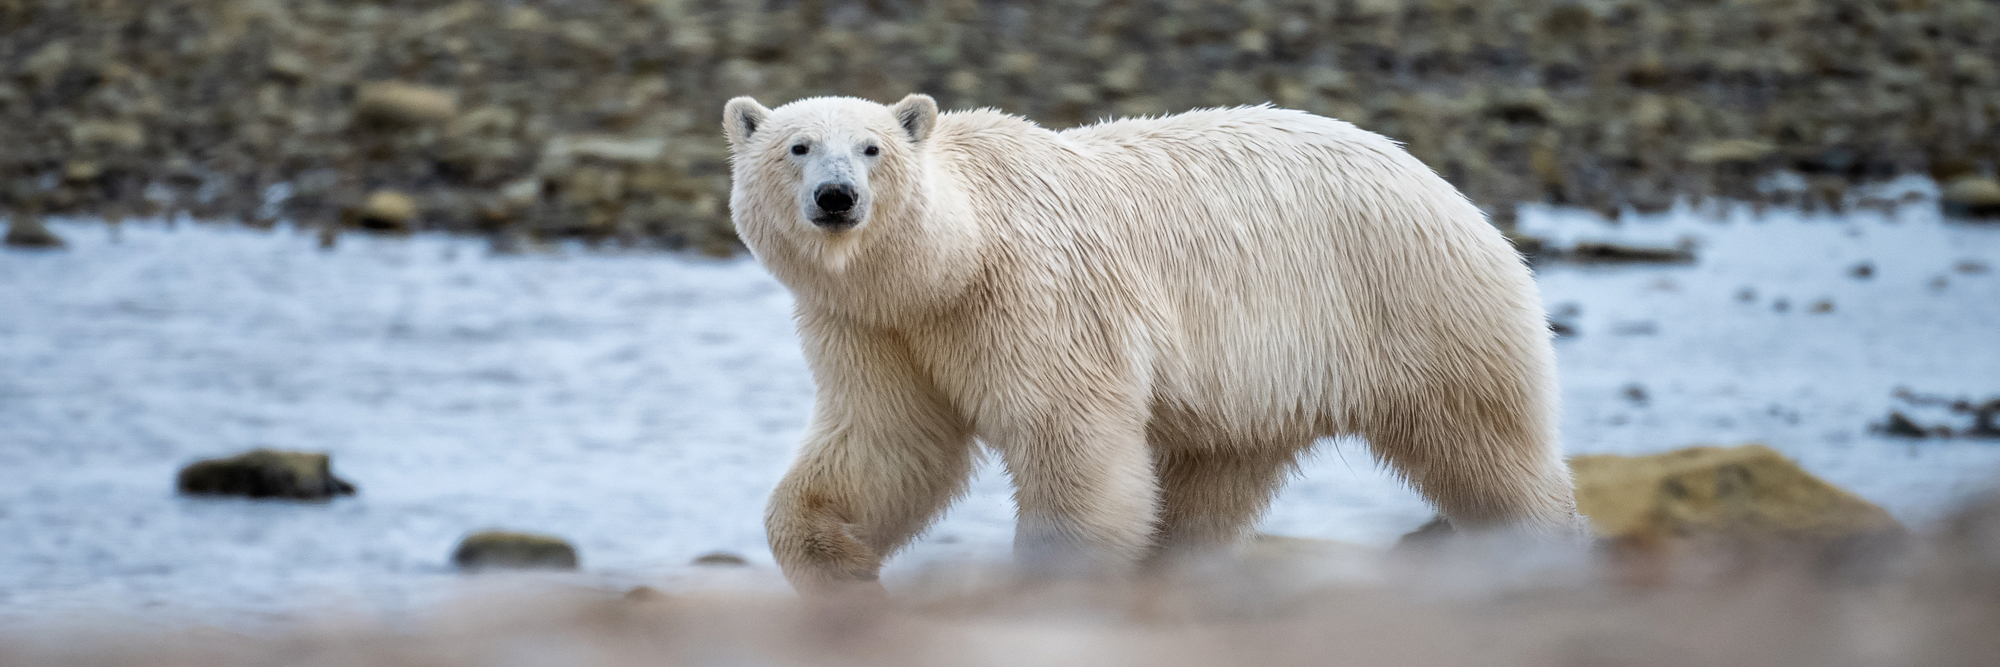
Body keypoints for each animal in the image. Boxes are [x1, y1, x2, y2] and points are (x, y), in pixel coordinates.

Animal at [728, 93, 1584, 595]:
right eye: (798, 147)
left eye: (872, 148)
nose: (837, 197)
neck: (948, 264)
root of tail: (1449, 191)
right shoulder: (877, 328)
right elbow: (891, 443)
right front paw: (838, 564)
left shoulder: (1035, 299)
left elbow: (1072, 439)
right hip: (1259, 390)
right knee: (1207, 488)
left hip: (1416, 310)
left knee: (1490, 454)